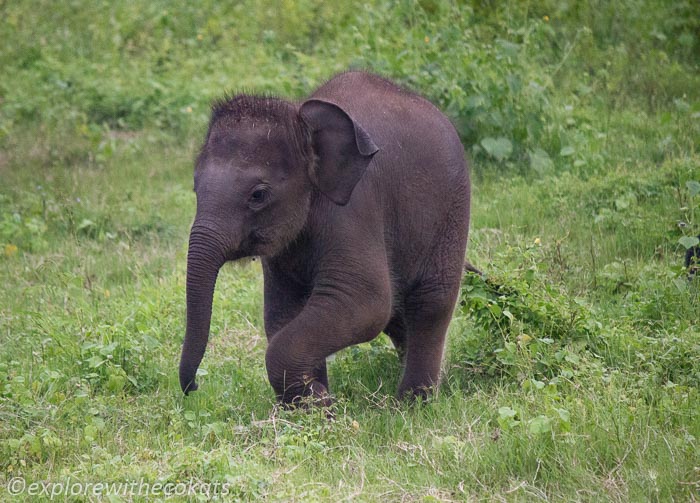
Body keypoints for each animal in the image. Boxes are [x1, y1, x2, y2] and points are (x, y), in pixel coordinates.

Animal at [180, 71, 470, 408]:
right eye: (195, 187)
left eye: (258, 195)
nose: (194, 387)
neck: (301, 120)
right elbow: (281, 311)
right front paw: (312, 402)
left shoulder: (354, 210)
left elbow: (366, 302)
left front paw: (319, 404)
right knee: (399, 316)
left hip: (451, 212)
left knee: (430, 302)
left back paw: (413, 403)